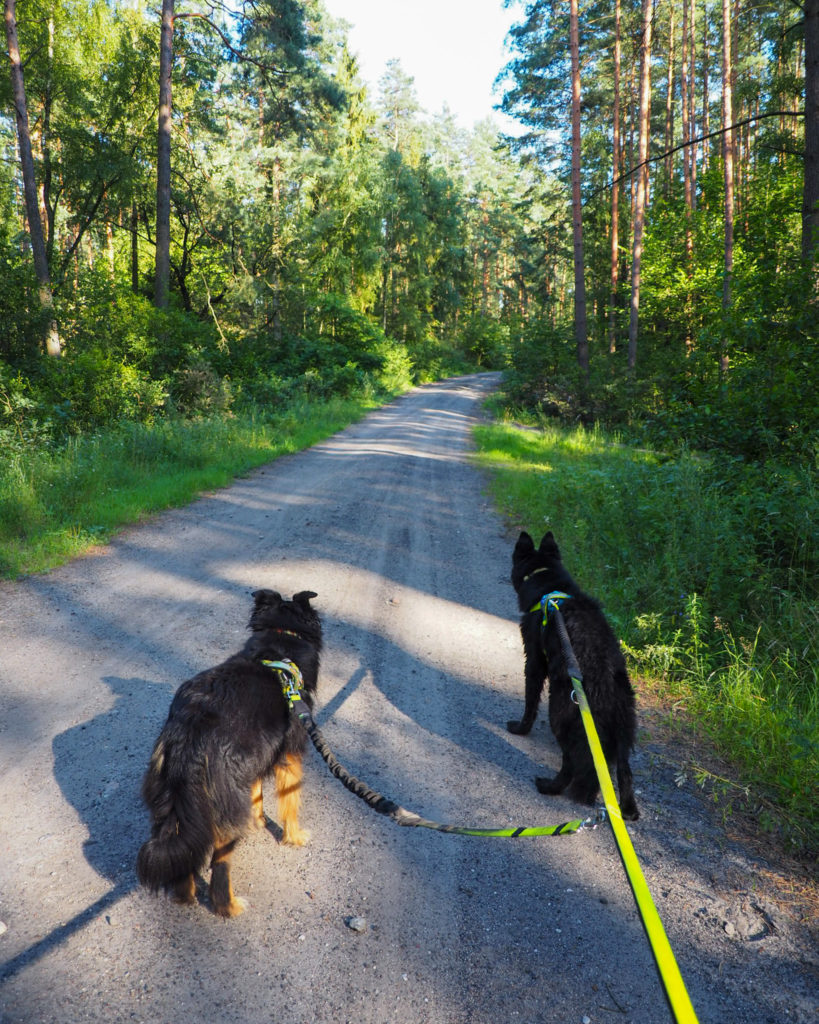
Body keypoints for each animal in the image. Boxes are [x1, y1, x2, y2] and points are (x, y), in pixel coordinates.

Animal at [136, 589, 321, 917]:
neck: (281, 640)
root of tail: (190, 735)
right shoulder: (290, 754)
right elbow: (290, 802)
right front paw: (294, 837)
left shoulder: (253, 756)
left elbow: (257, 791)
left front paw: (259, 820)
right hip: (221, 808)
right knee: (220, 866)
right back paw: (230, 907)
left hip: (172, 802)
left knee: (183, 849)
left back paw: (184, 896)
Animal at [505, 532, 638, 819]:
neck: (550, 588)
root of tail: (607, 688)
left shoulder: (534, 661)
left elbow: (530, 702)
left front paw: (520, 729)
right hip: (625, 730)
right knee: (625, 772)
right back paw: (628, 809)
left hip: (560, 712)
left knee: (570, 763)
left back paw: (549, 786)